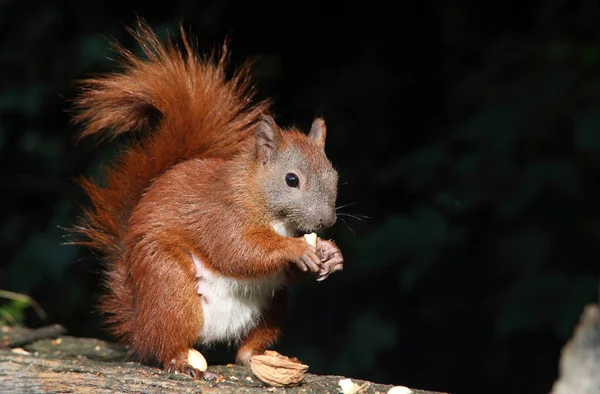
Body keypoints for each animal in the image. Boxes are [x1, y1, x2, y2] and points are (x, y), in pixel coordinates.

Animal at [70, 23, 342, 380]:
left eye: (335, 176)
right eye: (291, 180)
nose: (326, 222)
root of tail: (140, 323)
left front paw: (330, 253)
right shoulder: (219, 213)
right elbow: (238, 250)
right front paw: (298, 249)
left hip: (272, 304)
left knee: (246, 346)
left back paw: (260, 356)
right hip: (171, 284)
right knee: (163, 344)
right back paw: (180, 361)